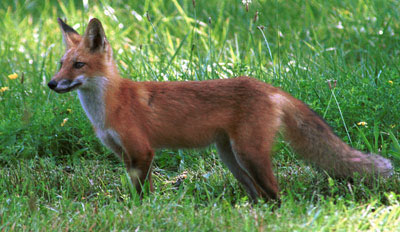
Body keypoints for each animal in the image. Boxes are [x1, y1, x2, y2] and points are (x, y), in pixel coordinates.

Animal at [48, 18, 392, 201]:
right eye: (61, 64)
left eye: (78, 65)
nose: (51, 83)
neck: (109, 105)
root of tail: (269, 87)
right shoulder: (125, 155)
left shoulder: (143, 151)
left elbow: (143, 195)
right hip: (233, 159)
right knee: (261, 198)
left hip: (249, 155)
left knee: (276, 195)